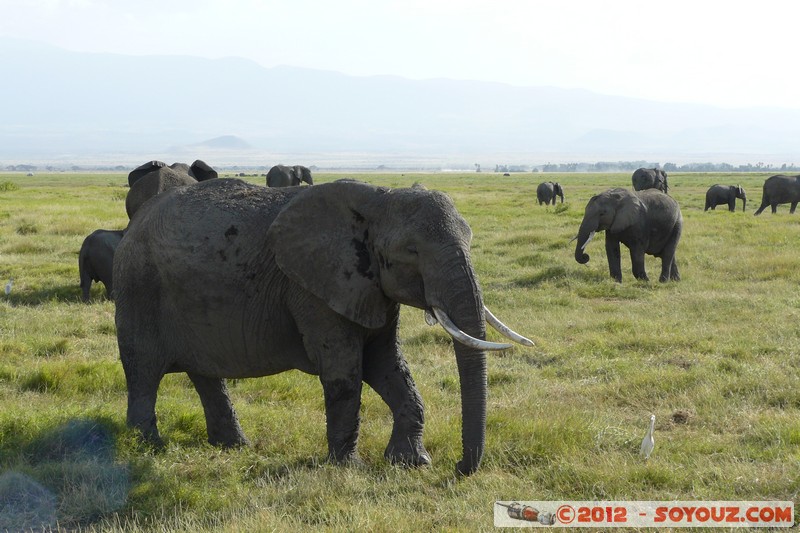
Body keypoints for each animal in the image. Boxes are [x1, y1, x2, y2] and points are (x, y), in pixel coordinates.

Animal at [112, 178, 532, 474]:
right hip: (139, 286)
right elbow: (345, 371)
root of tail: (135, 222)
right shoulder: (313, 288)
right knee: (143, 369)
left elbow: (389, 367)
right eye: (411, 252)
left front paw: (412, 464)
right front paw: (350, 468)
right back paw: (147, 447)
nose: (460, 468)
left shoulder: (370, 286)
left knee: (204, 373)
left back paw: (234, 446)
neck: (378, 201)